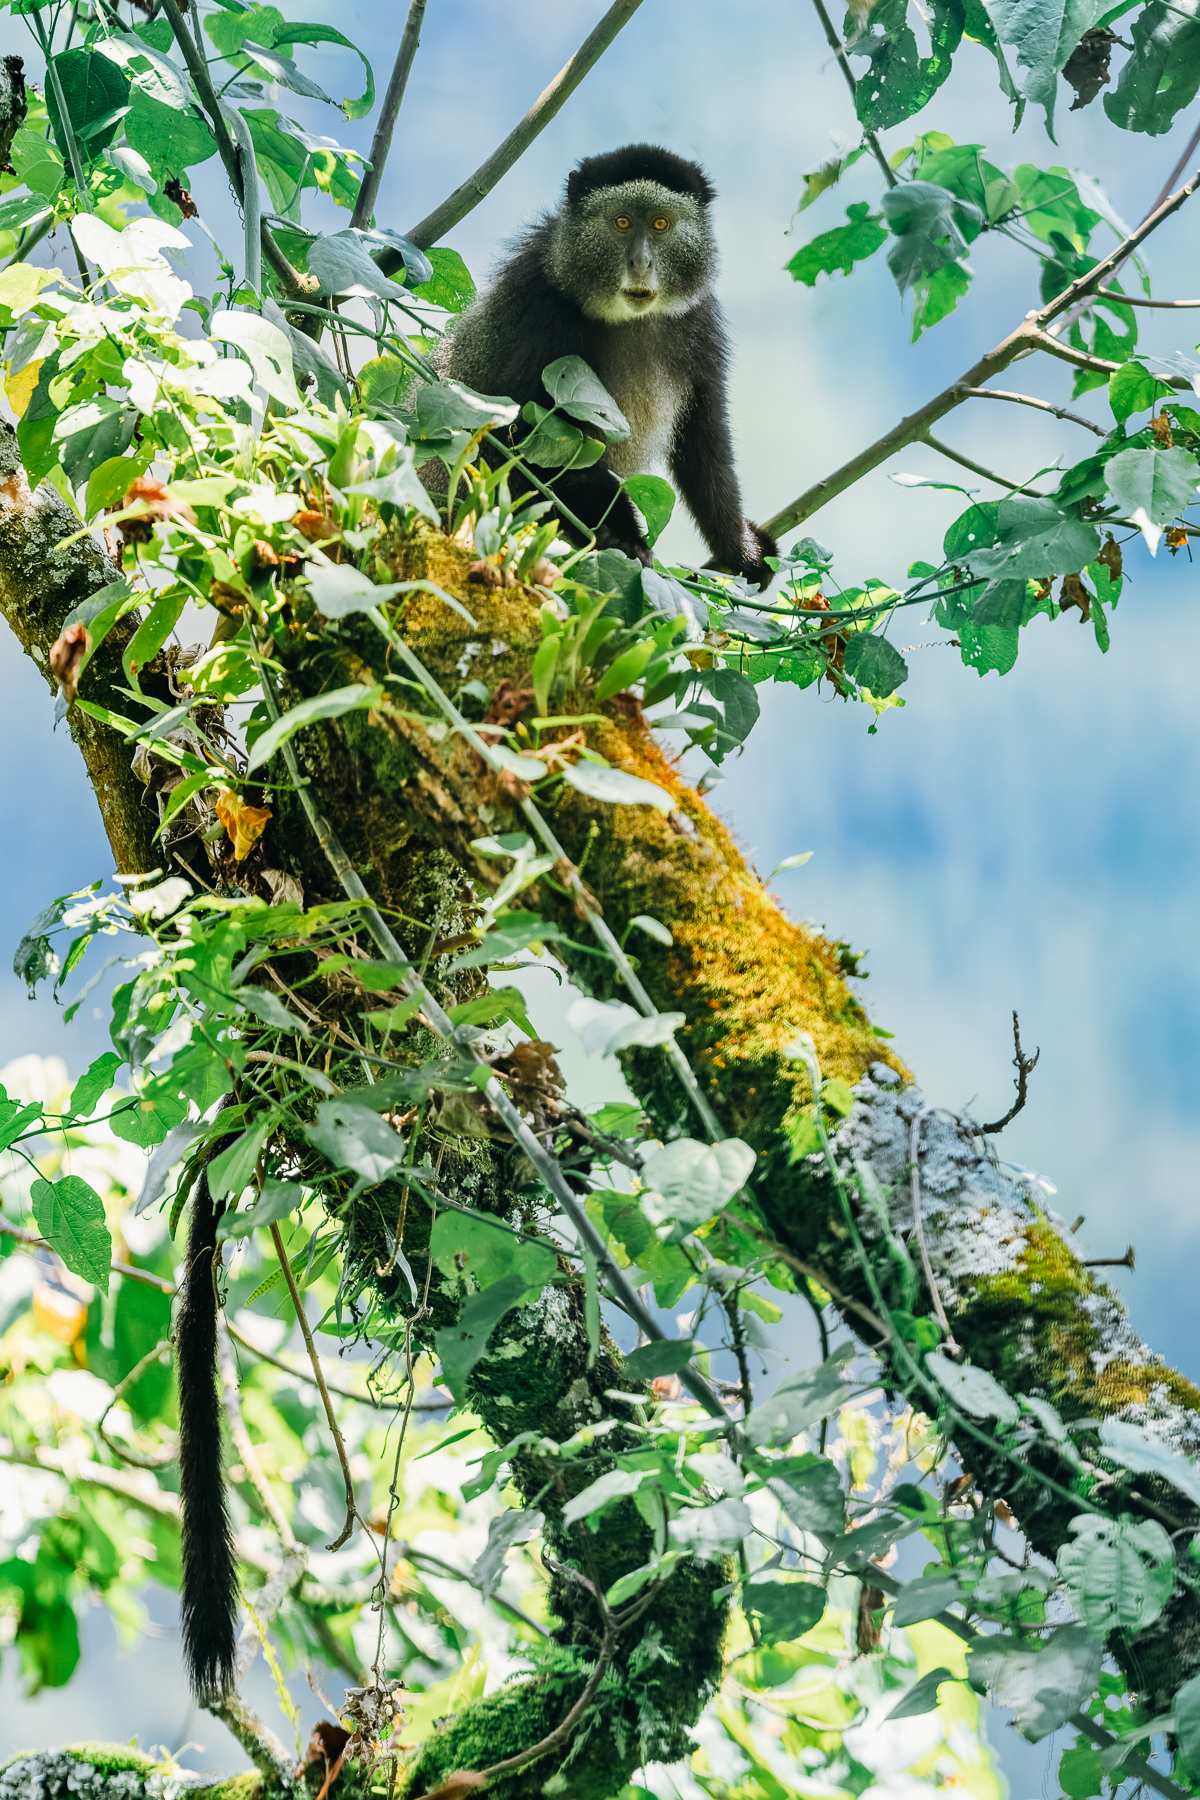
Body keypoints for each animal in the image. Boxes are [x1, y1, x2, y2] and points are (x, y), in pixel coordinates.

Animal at [436, 143, 777, 586]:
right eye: (622, 222)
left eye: (661, 224)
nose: (641, 263)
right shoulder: (535, 309)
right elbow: (518, 441)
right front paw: (623, 536)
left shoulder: (698, 321)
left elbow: (705, 440)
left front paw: (741, 551)